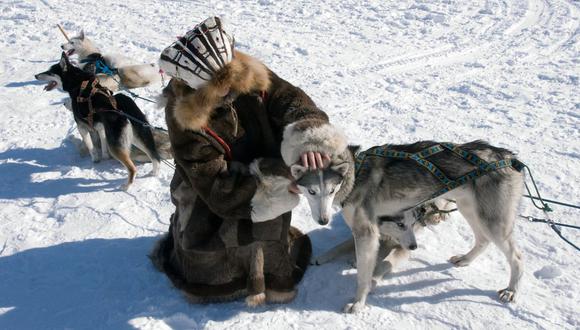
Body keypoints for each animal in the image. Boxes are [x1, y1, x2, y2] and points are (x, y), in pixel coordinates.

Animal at [35, 52, 161, 189]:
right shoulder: (100, 127)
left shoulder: (82, 127)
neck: (79, 83)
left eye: (50, 72)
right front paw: (104, 157)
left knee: (132, 168)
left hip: (117, 145)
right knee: (155, 157)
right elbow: (102, 143)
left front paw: (95, 159)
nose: (36, 75)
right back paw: (154, 173)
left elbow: (91, 146)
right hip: (137, 137)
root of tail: (122, 111)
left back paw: (126, 186)